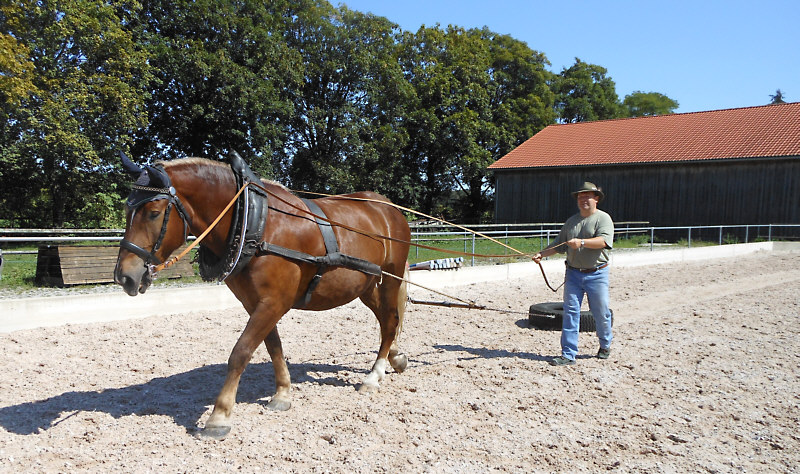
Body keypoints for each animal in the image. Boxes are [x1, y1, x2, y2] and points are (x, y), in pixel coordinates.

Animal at [115, 153, 410, 440]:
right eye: (128, 210)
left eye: (154, 213)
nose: (124, 276)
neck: (256, 223)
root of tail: (389, 207)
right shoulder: (256, 303)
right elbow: (273, 346)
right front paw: (282, 393)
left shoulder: (274, 303)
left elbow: (241, 351)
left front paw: (219, 416)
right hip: (366, 285)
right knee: (387, 320)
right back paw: (394, 357)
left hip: (390, 278)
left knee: (390, 320)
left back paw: (374, 376)